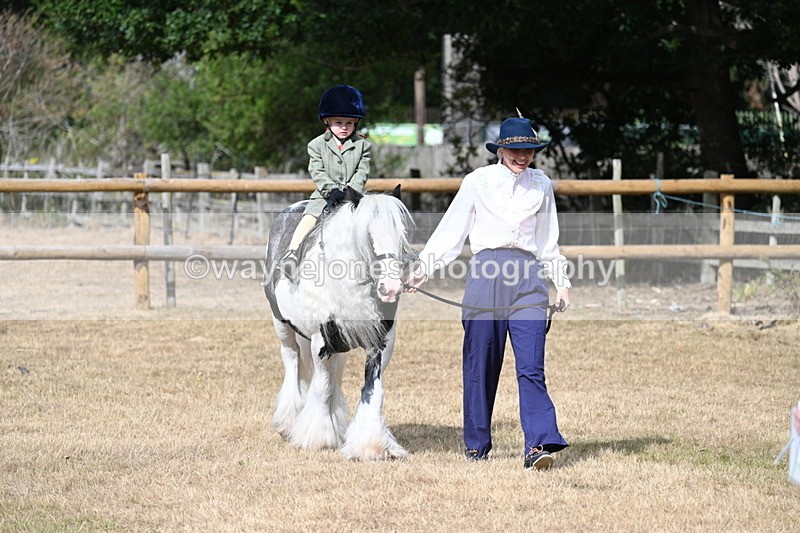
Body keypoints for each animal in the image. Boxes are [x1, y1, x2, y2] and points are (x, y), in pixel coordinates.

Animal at [263, 186, 414, 460]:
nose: (391, 288)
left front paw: (373, 446)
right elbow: (322, 388)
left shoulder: (381, 343)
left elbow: (372, 389)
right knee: (292, 360)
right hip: (282, 326)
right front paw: (318, 438)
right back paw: (289, 422)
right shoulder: (321, 343)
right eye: (367, 234)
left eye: (402, 232)